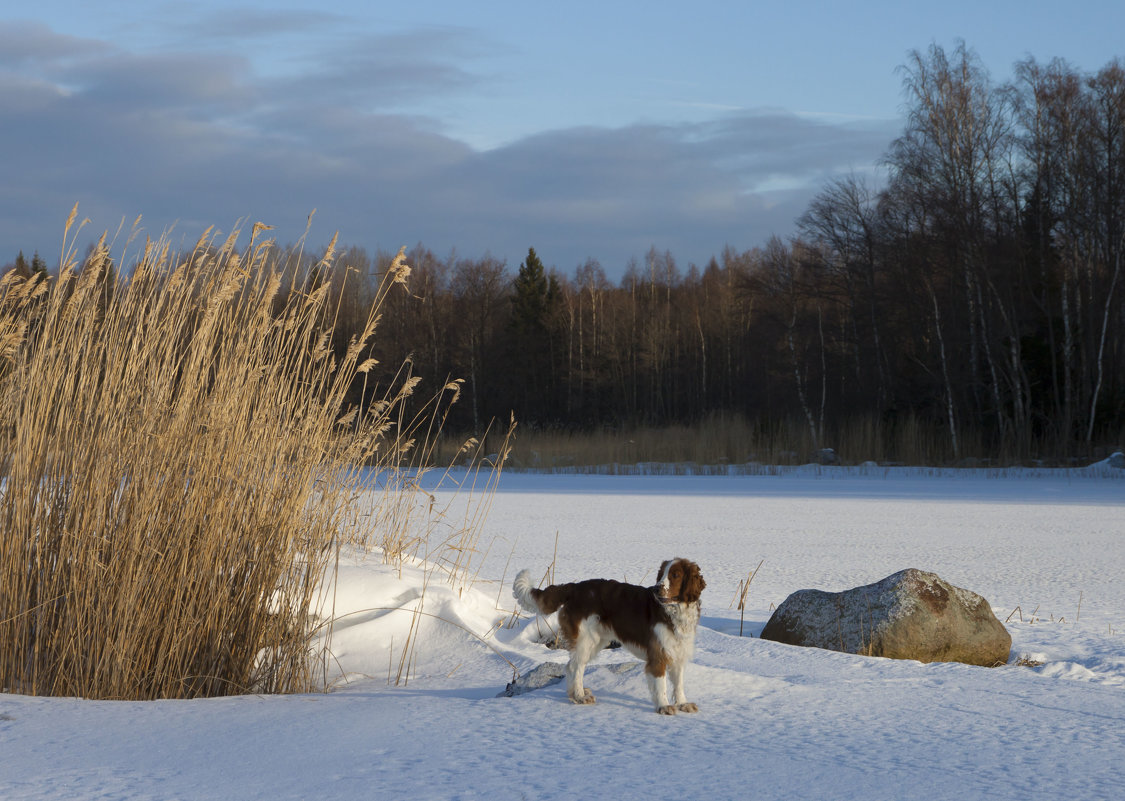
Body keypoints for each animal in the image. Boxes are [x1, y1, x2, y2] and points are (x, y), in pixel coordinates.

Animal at [510, 558, 702, 715]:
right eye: (661, 575)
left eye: (675, 575)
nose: (656, 589)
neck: (674, 612)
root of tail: (575, 587)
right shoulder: (658, 655)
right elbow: (661, 684)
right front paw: (664, 706)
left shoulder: (678, 652)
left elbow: (679, 684)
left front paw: (683, 704)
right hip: (586, 640)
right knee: (575, 666)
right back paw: (580, 696)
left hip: (596, 641)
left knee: (571, 666)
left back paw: (575, 695)